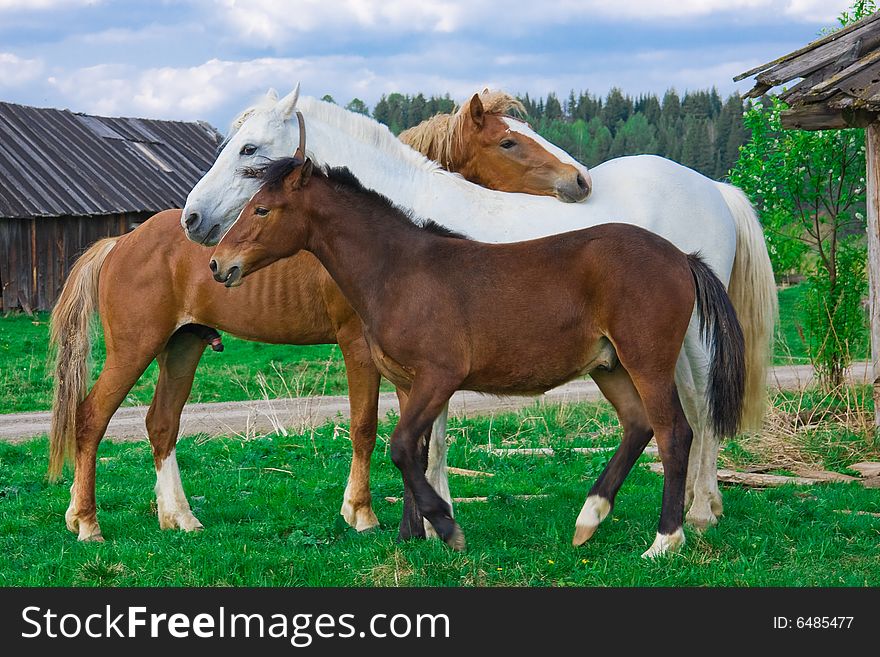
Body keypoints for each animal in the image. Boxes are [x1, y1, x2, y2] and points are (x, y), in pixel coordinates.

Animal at [51, 93, 580, 544]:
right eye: (508, 141)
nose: (579, 182)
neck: (389, 241)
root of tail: (119, 242)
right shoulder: (361, 348)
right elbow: (367, 425)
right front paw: (363, 514)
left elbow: (428, 438)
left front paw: (428, 522)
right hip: (135, 348)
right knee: (91, 418)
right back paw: (86, 522)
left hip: (182, 347)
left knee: (162, 424)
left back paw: (179, 518)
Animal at [182, 83, 772, 544]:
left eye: (250, 151)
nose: (194, 221)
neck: (406, 239)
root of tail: (711, 191)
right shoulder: (414, 371)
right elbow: (423, 440)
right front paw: (423, 521)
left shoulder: (404, 360)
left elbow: (392, 434)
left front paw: (402, 517)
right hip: (625, 359)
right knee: (667, 419)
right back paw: (649, 512)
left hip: (679, 347)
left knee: (695, 416)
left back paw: (691, 518)